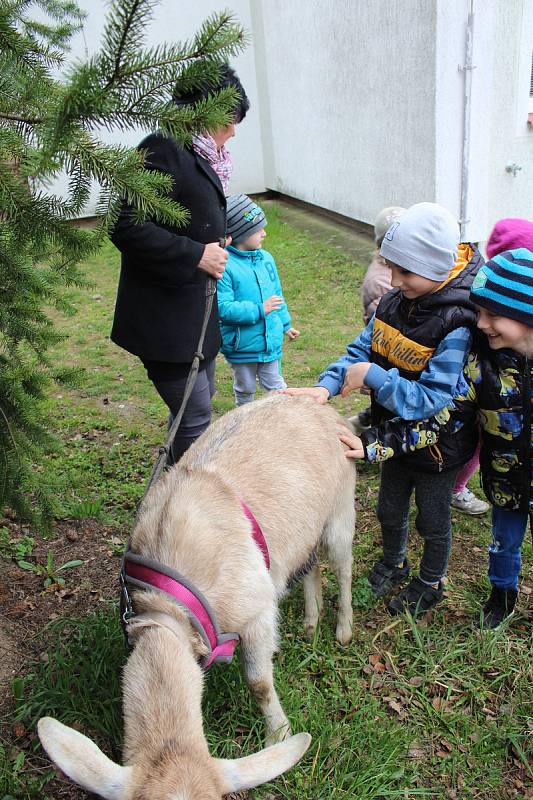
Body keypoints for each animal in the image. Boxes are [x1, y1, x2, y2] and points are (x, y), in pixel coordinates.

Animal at [37, 394, 354, 800]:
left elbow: (259, 683)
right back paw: (311, 624)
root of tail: (320, 404)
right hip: (305, 530)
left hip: (340, 510)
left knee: (343, 569)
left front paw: (278, 733)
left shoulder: (256, 611)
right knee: (311, 567)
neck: (168, 614)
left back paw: (343, 630)